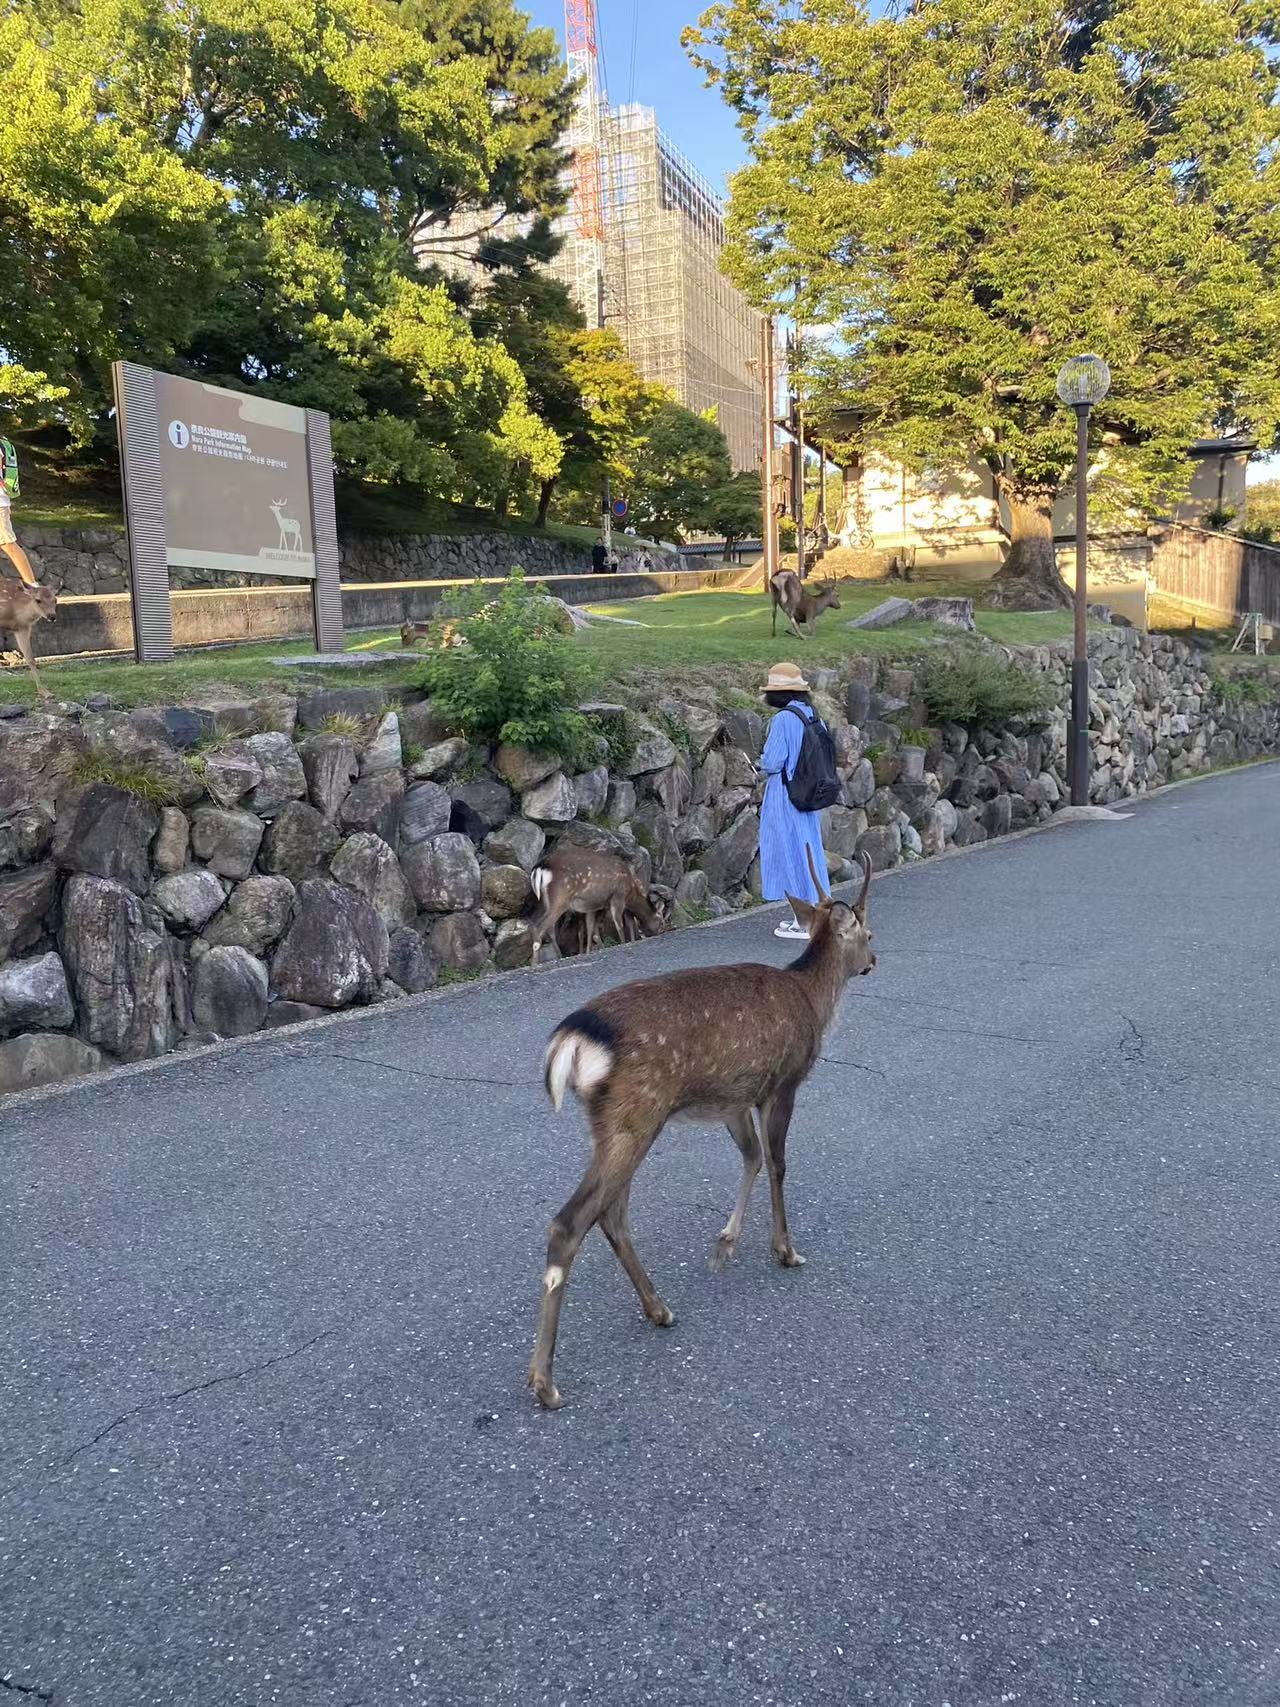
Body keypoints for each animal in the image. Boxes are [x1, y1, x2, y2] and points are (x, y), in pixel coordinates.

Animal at [528, 844, 665, 961]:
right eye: (661, 920)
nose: (661, 931)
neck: (631, 892)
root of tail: (540, 867)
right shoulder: (617, 896)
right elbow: (619, 924)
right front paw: (624, 943)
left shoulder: (595, 905)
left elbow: (591, 929)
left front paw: (590, 950)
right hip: (560, 898)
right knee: (539, 927)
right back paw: (535, 963)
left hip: (544, 901)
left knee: (545, 927)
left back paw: (559, 955)